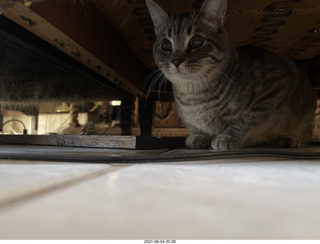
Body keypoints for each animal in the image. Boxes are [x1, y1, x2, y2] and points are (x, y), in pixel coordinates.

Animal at [146, 0, 316, 150]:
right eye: (166, 45)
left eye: (197, 41)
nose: (176, 61)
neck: (194, 97)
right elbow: (193, 126)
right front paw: (197, 136)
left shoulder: (275, 86)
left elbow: (247, 118)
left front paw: (226, 137)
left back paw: (291, 138)